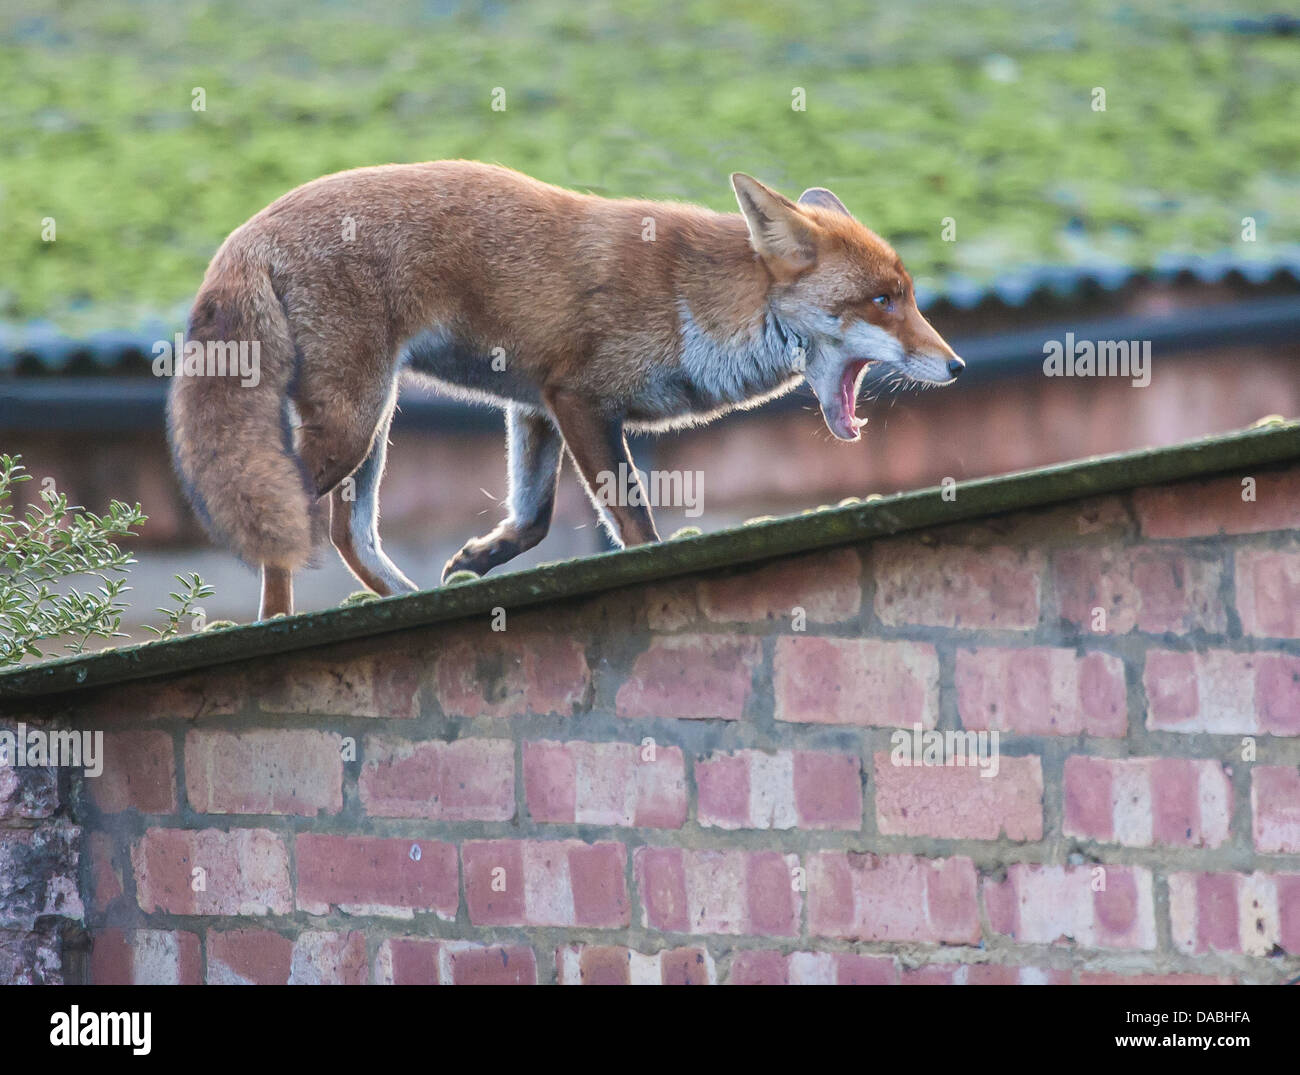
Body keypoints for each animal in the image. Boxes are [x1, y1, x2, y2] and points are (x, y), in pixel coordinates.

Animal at [167, 161, 964, 619]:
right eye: (884, 301)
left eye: (908, 296)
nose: (957, 366)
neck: (692, 302)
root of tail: (247, 230)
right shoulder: (580, 399)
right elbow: (634, 524)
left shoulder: (534, 405)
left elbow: (536, 519)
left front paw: (476, 560)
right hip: (353, 420)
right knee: (292, 521)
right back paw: (277, 624)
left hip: (371, 420)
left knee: (345, 531)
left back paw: (404, 598)